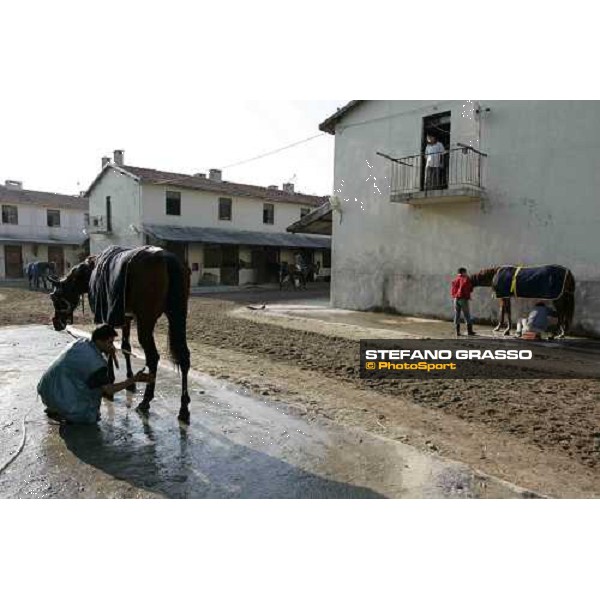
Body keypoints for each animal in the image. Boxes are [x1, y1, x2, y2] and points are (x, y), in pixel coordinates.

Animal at [47, 244, 192, 422]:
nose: (56, 322)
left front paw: (111, 380)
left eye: (55, 297)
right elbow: (125, 347)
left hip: (146, 322)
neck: (90, 271)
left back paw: (146, 400)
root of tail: (165, 258)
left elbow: (110, 349)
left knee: (153, 358)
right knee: (184, 358)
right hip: (177, 316)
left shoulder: (106, 317)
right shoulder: (126, 318)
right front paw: (131, 381)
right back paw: (183, 408)